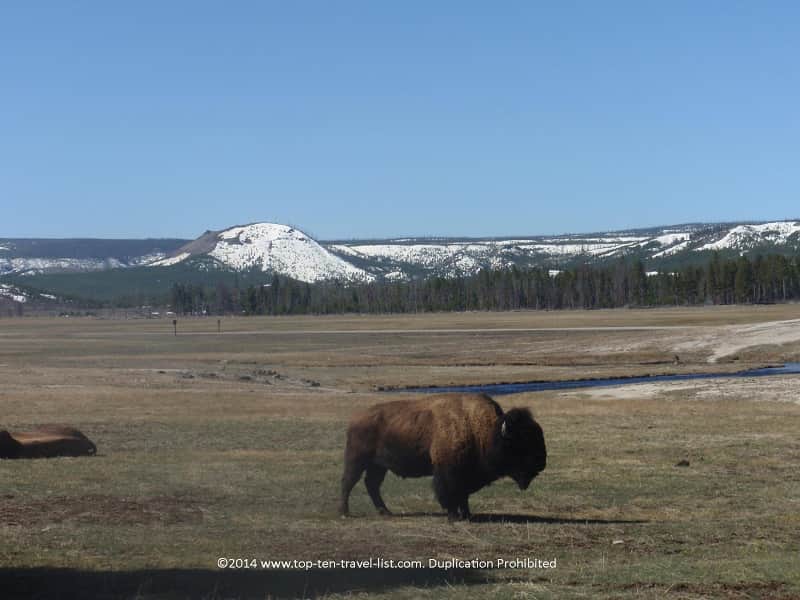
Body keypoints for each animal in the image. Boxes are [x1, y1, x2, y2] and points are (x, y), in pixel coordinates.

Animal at [339, 393, 546, 520]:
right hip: (357, 460)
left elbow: (463, 496)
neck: (484, 431)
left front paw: (467, 515)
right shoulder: (448, 472)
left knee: (372, 485)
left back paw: (385, 512)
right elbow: (450, 494)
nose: (542, 463)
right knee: (348, 482)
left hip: (378, 466)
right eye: (522, 442)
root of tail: (356, 419)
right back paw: (345, 512)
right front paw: (453, 516)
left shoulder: (466, 475)